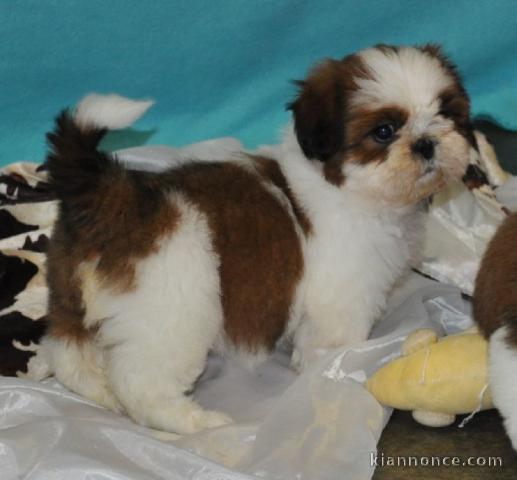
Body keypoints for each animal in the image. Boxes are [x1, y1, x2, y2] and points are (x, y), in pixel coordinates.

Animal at [30, 45, 476, 436]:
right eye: (384, 131)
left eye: (445, 113)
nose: (426, 143)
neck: (346, 185)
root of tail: (116, 195)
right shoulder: (342, 295)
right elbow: (336, 339)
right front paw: (340, 371)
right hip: (171, 310)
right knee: (143, 381)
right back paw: (191, 422)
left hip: (67, 291)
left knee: (69, 352)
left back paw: (98, 391)